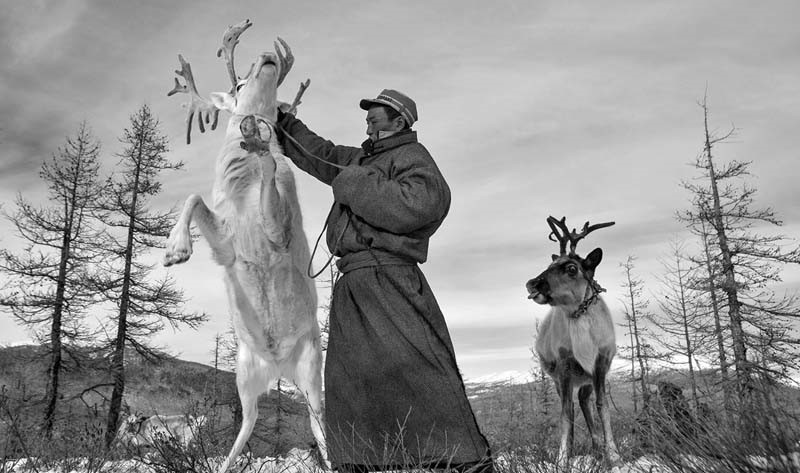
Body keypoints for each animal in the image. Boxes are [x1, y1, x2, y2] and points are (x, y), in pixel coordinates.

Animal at [162, 19, 327, 472]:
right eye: (237, 84)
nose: (267, 58)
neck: (244, 179)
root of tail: (278, 366)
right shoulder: (226, 243)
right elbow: (192, 198)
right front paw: (175, 252)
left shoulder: (281, 228)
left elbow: (272, 182)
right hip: (244, 373)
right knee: (248, 423)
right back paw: (223, 464)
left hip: (312, 368)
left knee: (319, 424)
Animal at [526, 216, 620, 469]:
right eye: (550, 264)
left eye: (571, 268)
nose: (532, 283)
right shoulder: (564, 366)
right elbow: (565, 414)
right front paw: (562, 458)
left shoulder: (599, 363)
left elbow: (602, 406)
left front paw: (613, 454)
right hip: (559, 378)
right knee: (570, 405)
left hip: (585, 379)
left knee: (584, 401)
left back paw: (597, 446)